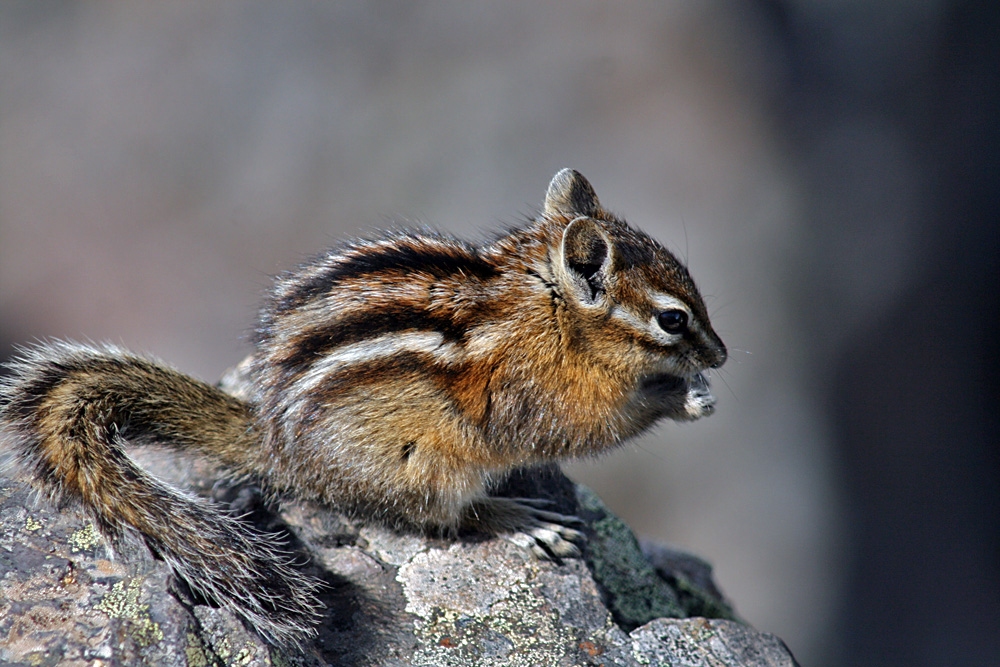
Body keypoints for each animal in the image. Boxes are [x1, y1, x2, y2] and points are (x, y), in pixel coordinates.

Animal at [0, 169, 726, 646]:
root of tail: (275, 444)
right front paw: (680, 397)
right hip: (432, 465)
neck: (547, 309)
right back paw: (522, 518)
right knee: (446, 517)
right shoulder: (541, 398)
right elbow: (592, 427)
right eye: (673, 318)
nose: (721, 356)